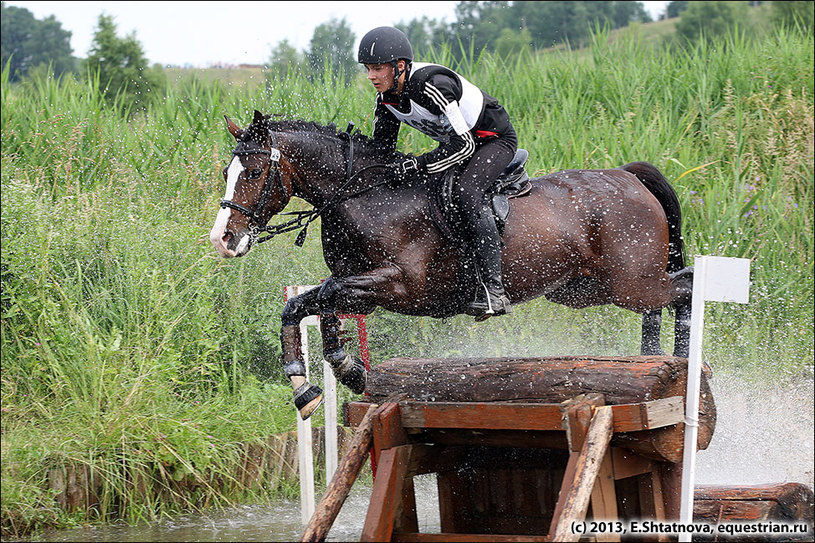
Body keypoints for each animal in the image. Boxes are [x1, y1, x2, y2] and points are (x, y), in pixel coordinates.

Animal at [210, 108, 696, 418]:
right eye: (228, 173)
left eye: (254, 173)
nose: (223, 239)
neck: (365, 195)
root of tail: (628, 176)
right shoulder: (358, 285)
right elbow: (307, 306)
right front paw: (326, 379)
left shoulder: (397, 285)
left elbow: (322, 297)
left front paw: (324, 378)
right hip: (583, 290)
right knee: (668, 295)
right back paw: (654, 359)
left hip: (630, 283)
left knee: (686, 285)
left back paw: (679, 362)